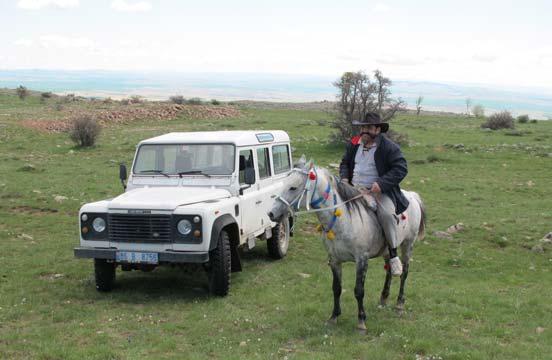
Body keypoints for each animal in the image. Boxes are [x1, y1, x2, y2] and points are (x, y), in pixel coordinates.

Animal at [268, 159, 426, 334]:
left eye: (293, 187)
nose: (271, 214)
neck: (344, 221)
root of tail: (412, 196)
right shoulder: (334, 260)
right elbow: (336, 288)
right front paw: (334, 317)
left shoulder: (361, 260)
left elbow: (359, 290)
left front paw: (361, 321)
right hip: (387, 250)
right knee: (390, 270)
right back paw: (383, 299)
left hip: (408, 244)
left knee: (404, 272)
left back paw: (399, 303)